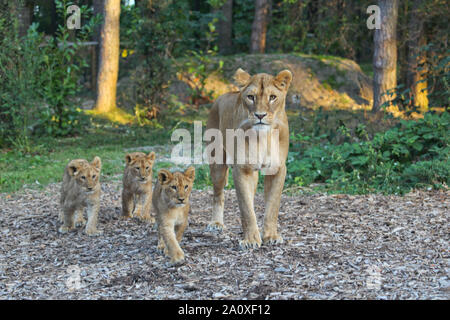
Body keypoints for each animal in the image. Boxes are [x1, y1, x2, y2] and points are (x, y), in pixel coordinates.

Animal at [207, 68, 294, 250]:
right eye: (251, 97)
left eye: (272, 97)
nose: (260, 115)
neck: (263, 137)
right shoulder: (242, 169)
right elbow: (246, 208)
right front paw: (251, 240)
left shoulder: (277, 169)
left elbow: (272, 206)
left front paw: (271, 236)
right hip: (217, 164)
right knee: (218, 194)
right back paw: (216, 223)